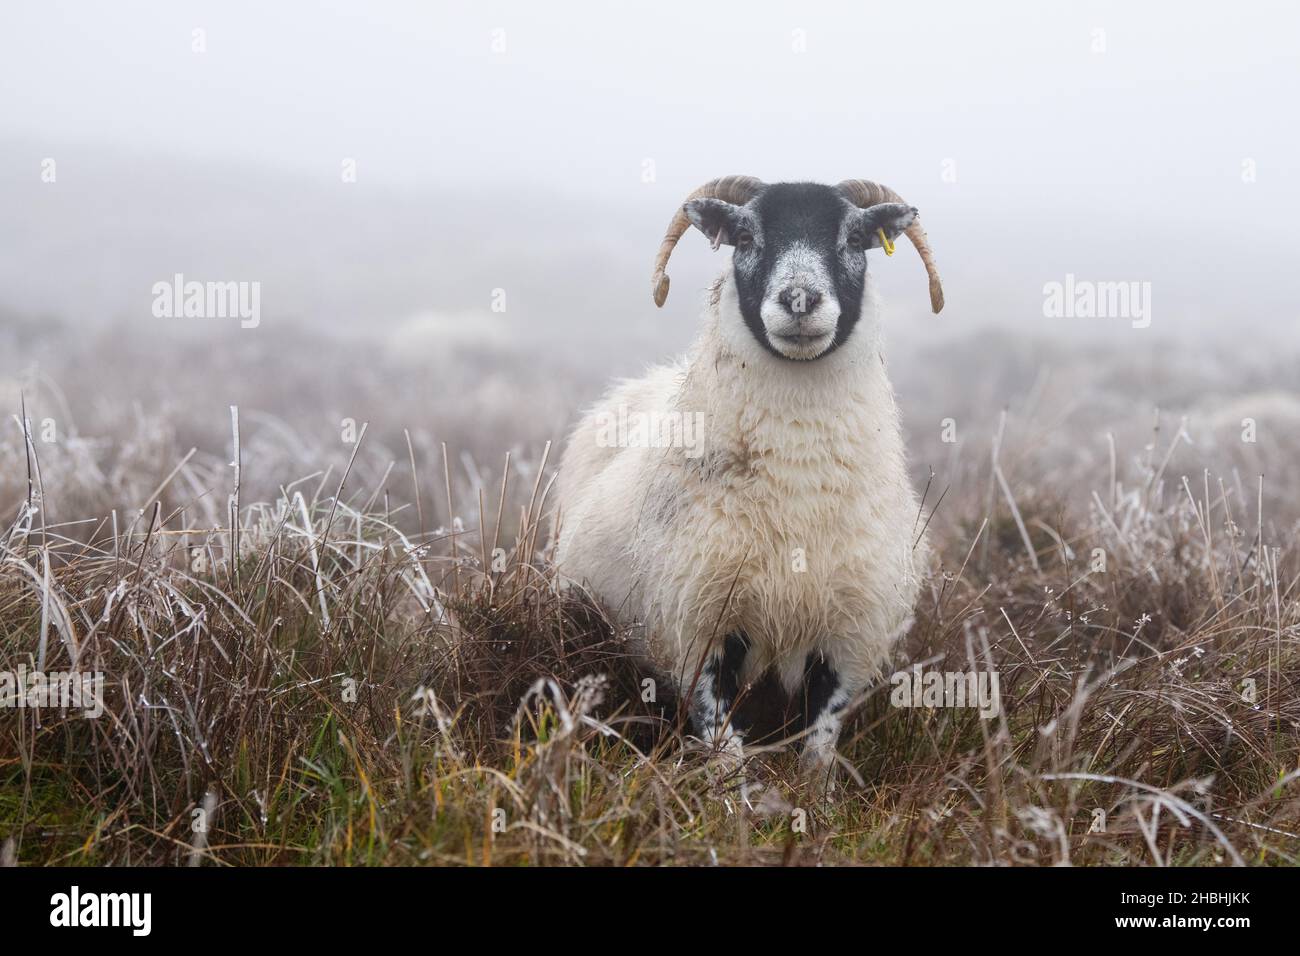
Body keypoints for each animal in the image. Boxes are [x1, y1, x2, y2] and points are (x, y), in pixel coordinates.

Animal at [551, 178, 946, 780]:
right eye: (744, 236)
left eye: (855, 238)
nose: (800, 300)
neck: (798, 487)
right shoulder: (698, 630)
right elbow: (723, 748)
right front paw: (733, 798)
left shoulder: (848, 637)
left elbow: (819, 745)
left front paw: (814, 796)